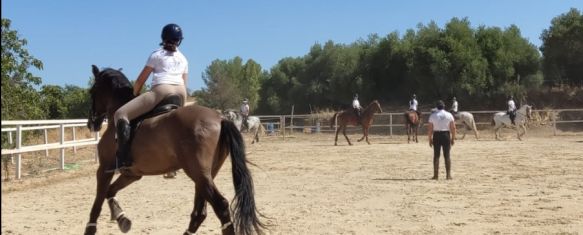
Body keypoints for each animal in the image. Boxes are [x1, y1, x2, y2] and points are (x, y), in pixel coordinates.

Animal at [83, 65, 264, 235]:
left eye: (92, 91)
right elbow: (110, 192)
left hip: (198, 173)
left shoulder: (104, 169)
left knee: (220, 206)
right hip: (204, 176)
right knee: (200, 212)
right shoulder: (131, 174)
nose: (91, 123)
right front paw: (122, 219)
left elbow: (98, 200)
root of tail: (220, 119)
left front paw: (91, 228)